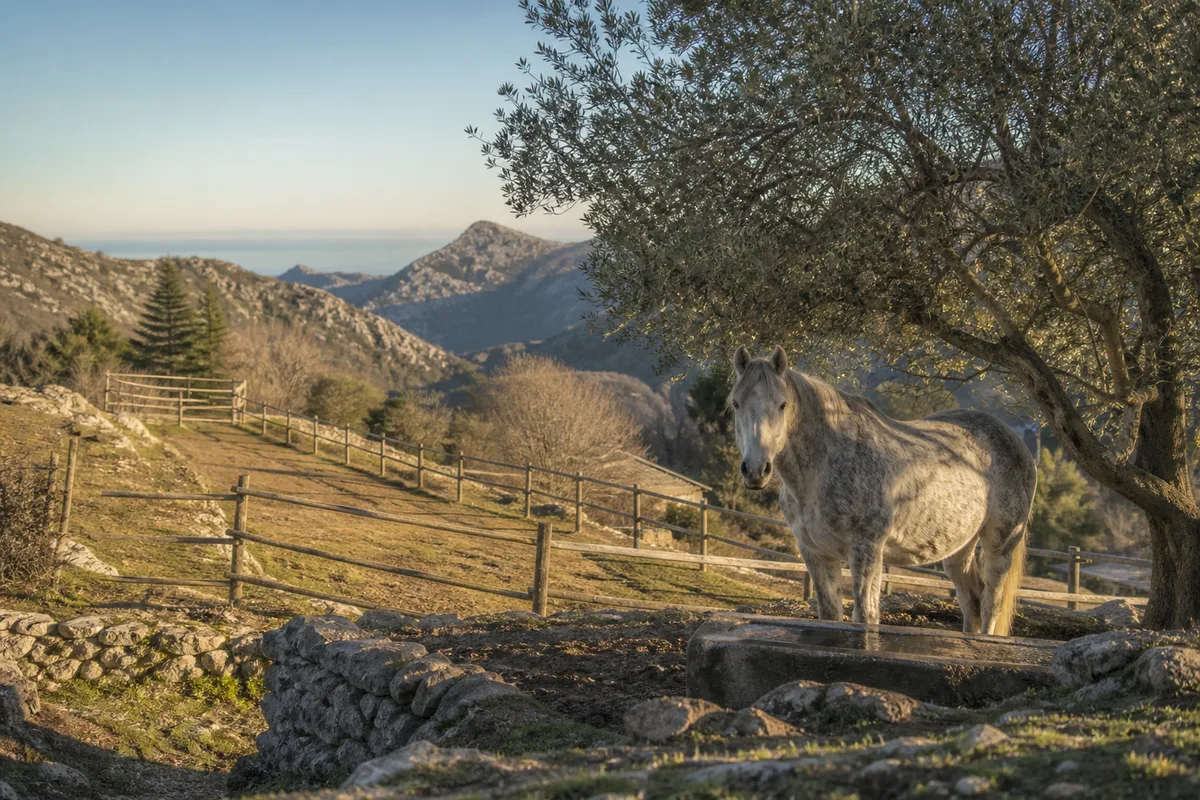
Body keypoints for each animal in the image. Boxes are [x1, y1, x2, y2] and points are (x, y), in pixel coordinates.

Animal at [729, 345, 1036, 636]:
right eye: (736, 403)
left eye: (782, 405)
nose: (755, 470)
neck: (825, 464)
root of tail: (1016, 442)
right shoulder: (815, 553)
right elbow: (829, 615)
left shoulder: (866, 551)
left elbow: (866, 617)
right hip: (959, 549)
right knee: (971, 600)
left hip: (1000, 545)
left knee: (990, 604)